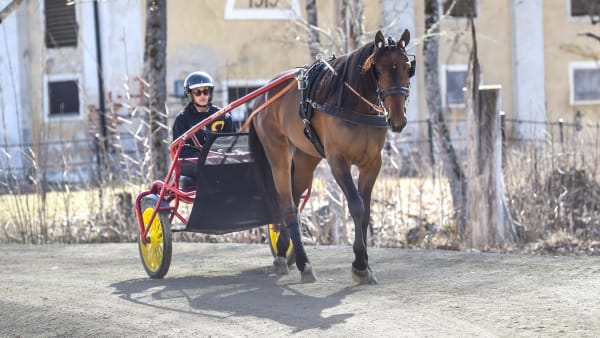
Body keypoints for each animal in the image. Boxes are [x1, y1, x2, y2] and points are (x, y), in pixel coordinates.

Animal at [247, 29, 412, 284]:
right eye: (379, 68)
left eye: (406, 66)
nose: (397, 119)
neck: (355, 105)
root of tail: (262, 96)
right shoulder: (338, 162)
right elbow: (356, 206)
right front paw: (360, 265)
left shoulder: (372, 164)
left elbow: (366, 211)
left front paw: (365, 264)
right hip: (278, 154)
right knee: (287, 205)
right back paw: (304, 264)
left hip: (304, 159)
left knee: (294, 200)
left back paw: (283, 250)